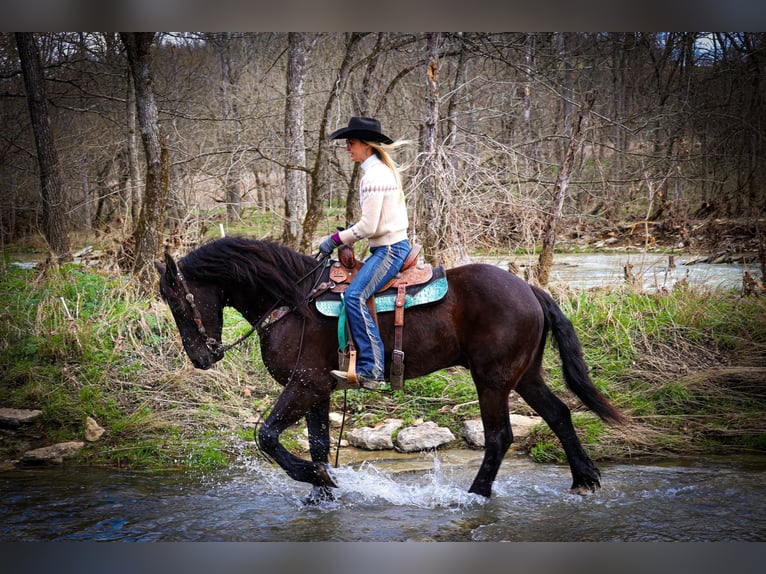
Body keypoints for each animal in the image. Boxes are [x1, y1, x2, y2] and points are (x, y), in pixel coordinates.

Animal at [154, 236, 624, 502]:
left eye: (177, 299)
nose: (200, 358)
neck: (292, 302)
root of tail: (529, 289)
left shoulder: (304, 384)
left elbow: (267, 437)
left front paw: (315, 478)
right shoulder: (318, 390)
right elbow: (319, 444)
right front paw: (321, 491)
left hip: (492, 380)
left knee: (499, 437)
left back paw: (475, 495)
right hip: (525, 375)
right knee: (559, 415)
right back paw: (584, 479)